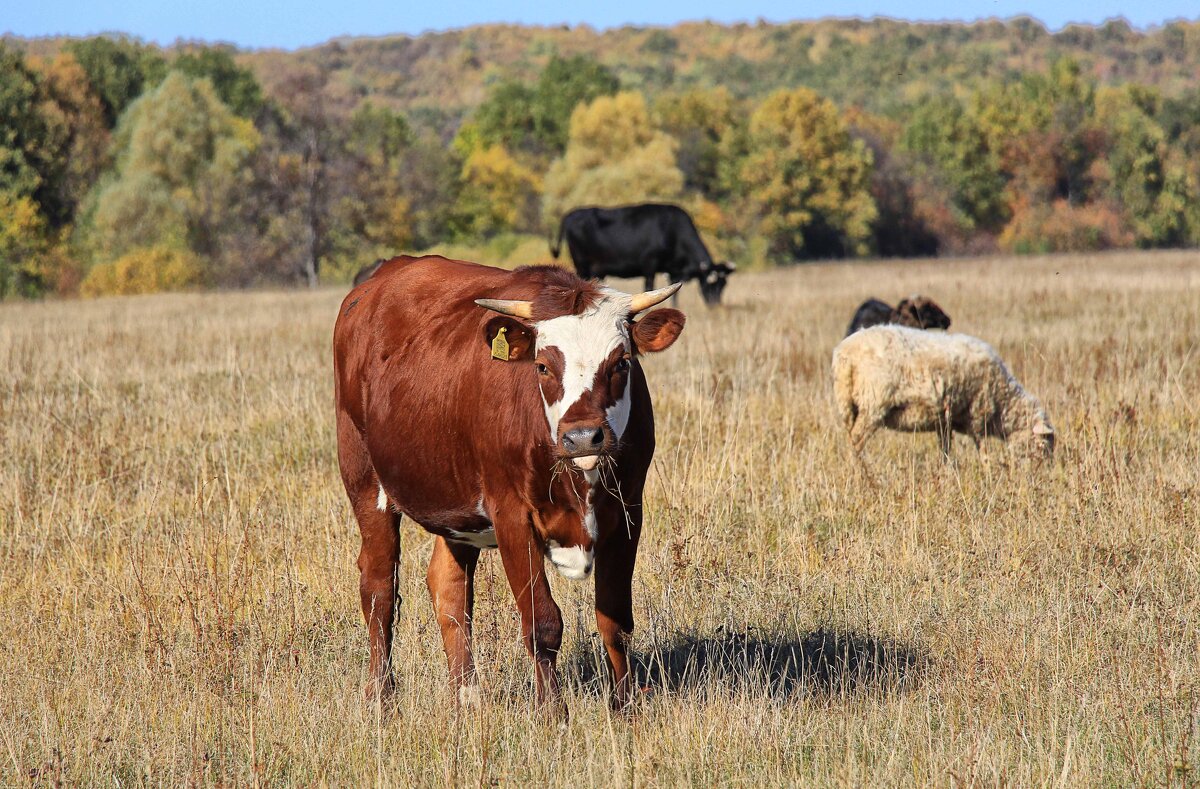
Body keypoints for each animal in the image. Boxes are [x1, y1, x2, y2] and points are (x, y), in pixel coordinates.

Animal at [333, 255, 686, 714]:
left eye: (622, 362)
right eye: (542, 366)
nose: (582, 437)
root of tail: (384, 274)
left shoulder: (628, 513)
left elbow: (615, 620)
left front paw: (625, 708)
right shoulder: (512, 516)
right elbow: (542, 622)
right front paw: (552, 713)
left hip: (457, 509)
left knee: (448, 586)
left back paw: (467, 697)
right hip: (363, 479)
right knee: (379, 588)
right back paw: (381, 697)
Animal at [549, 202, 734, 304]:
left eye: (723, 285)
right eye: (710, 283)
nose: (715, 305)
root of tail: (570, 214)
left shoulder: (673, 272)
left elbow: (674, 296)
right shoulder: (649, 265)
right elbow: (649, 288)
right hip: (581, 264)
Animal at [830, 323, 1056, 458]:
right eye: (1044, 445)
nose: (1040, 475)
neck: (1004, 402)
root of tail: (844, 354)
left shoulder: (944, 420)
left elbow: (946, 450)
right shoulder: (978, 414)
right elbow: (982, 449)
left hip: (848, 405)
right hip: (873, 405)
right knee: (856, 441)